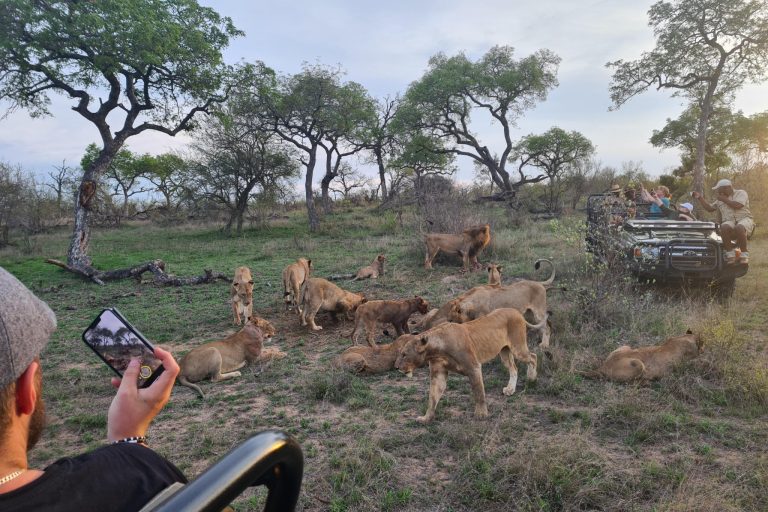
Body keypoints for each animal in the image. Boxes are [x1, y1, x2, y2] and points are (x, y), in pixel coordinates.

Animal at [395, 308, 544, 423]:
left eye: (404, 354)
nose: (396, 367)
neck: (436, 350)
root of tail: (516, 311)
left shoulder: (474, 367)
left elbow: (479, 393)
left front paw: (481, 415)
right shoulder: (438, 374)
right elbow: (432, 397)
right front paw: (426, 418)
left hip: (517, 347)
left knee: (533, 357)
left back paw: (531, 379)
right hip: (504, 351)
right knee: (514, 368)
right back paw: (510, 389)